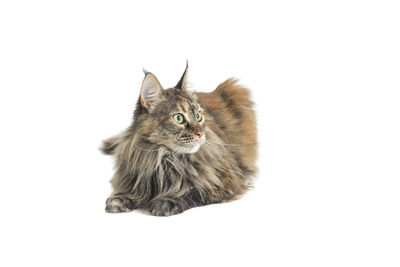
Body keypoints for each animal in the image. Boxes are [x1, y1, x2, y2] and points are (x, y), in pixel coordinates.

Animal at [101, 63, 258, 217]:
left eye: (198, 116)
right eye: (178, 118)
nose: (201, 133)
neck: (164, 159)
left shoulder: (222, 182)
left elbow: (191, 191)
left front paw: (166, 201)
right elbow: (135, 191)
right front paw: (121, 198)